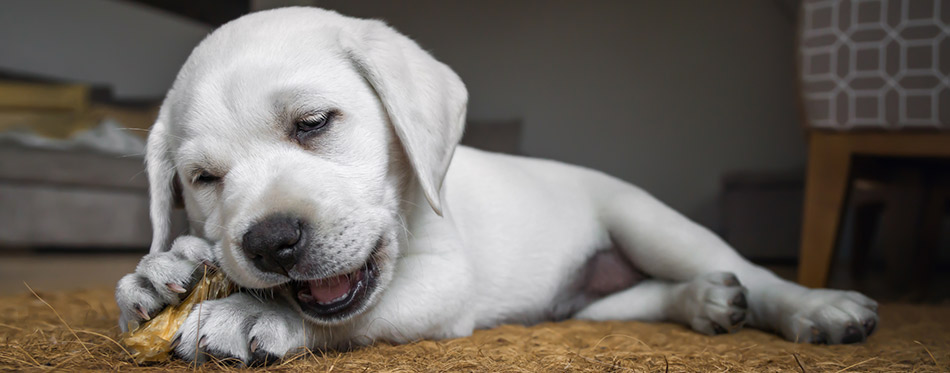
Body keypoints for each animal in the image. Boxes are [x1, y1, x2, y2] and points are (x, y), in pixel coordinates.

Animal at [115, 7, 880, 364]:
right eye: (202, 179)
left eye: (312, 123)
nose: (270, 242)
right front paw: (161, 272)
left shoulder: (443, 282)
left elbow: (352, 316)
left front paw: (252, 313)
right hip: (582, 305)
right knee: (646, 297)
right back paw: (708, 301)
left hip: (650, 223)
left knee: (747, 268)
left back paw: (816, 305)